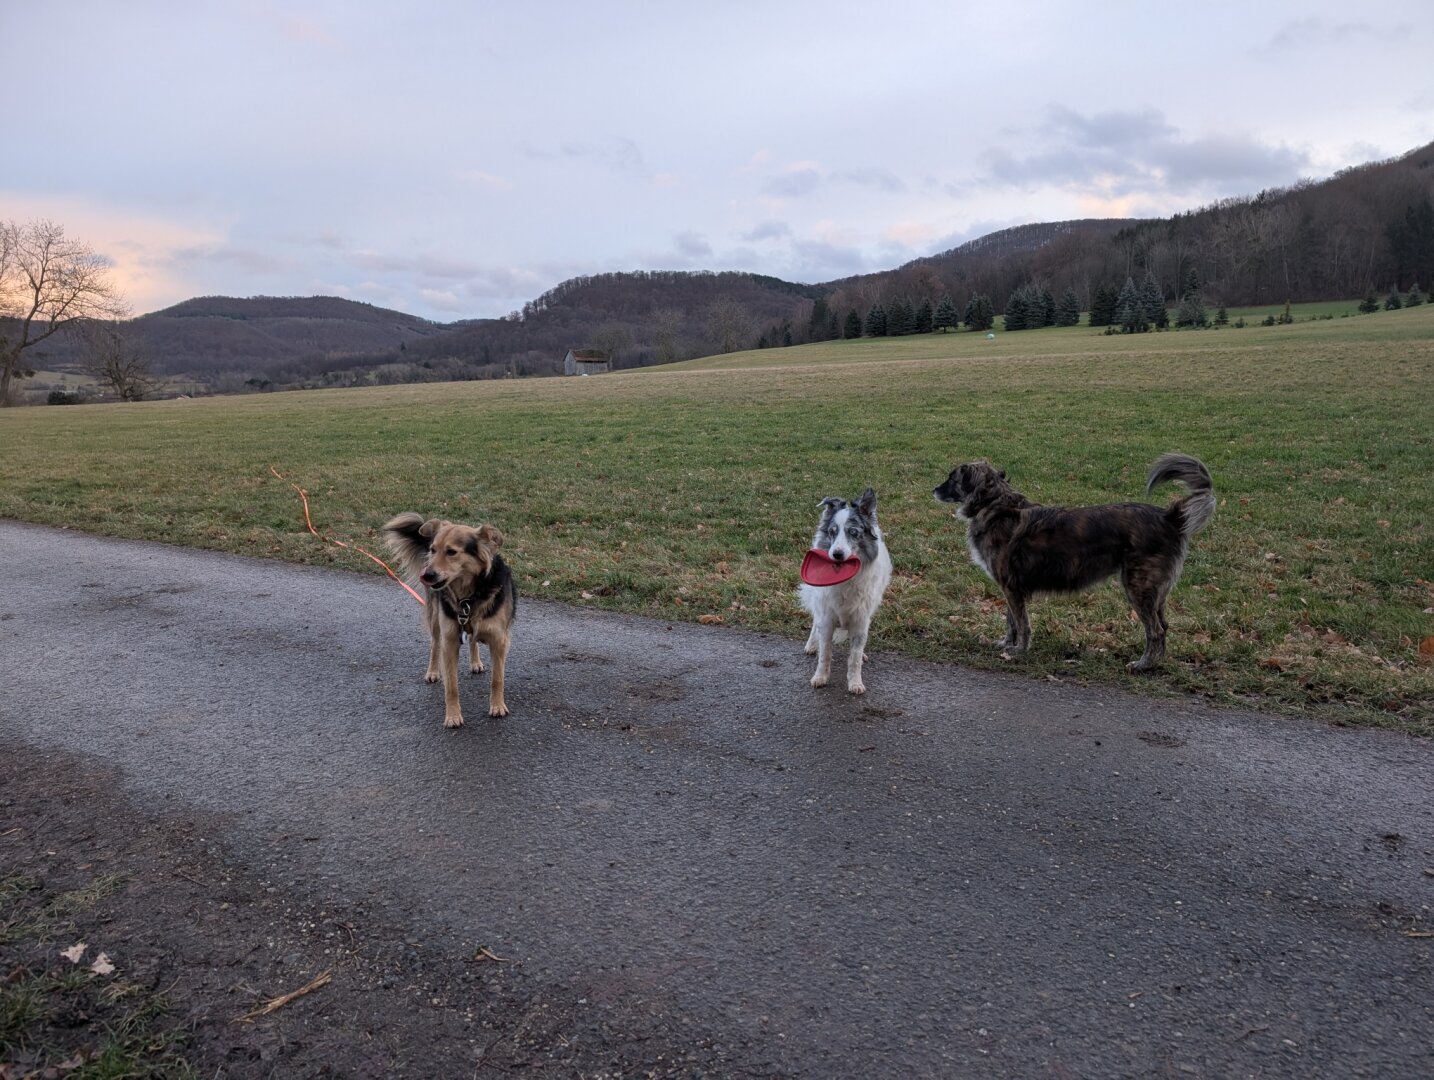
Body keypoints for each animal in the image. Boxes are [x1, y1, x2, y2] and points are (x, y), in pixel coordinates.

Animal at [384, 513, 516, 726]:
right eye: (433, 549)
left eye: (452, 552)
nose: (426, 575)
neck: (468, 597)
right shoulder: (450, 640)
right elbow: (451, 685)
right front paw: (453, 716)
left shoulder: (499, 640)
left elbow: (497, 679)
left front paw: (497, 707)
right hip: (436, 621)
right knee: (434, 644)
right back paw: (432, 672)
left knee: (472, 641)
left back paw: (475, 663)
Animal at [799, 488, 894, 695]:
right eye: (832, 532)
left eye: (853, 532)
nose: (837, 554)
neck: (846, 581)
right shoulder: (827, 616)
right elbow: (825, 653)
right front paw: (820, 677)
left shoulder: (861, 619)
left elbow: (855, 657)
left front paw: (855, 682)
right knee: (815, 623)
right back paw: (811, 644)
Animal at [933, 454, 1214, 670]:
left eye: (952, 479)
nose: (933, 490)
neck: (993, 504)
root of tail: (1169, 517)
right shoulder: (1011, 588)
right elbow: (1011, 621)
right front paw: (1006, 644)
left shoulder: (1011, 587)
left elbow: (1021, 624)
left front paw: (1019, 649)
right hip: (1156, 592)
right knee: (1164, 626)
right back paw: (1158, 662)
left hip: (1138, 587)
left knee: (1155, 630)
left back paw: (1143, 665)